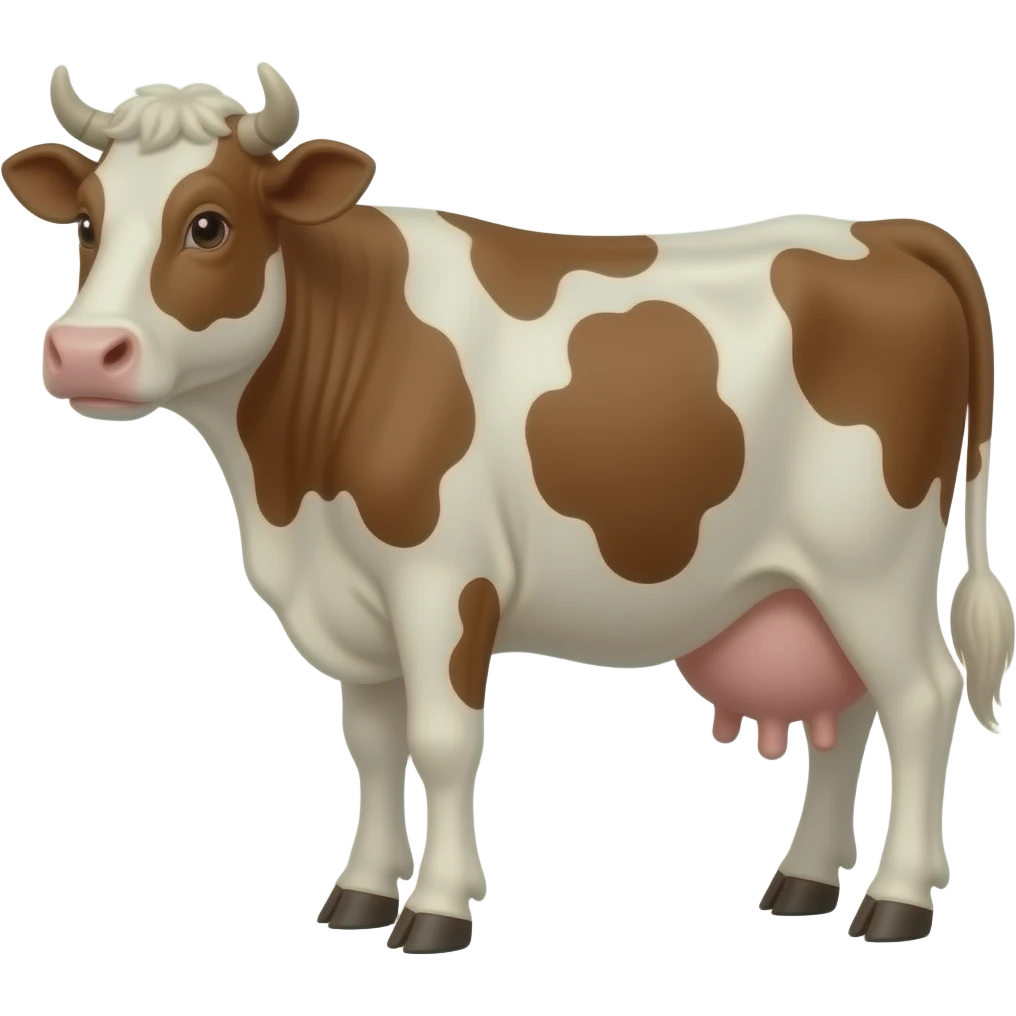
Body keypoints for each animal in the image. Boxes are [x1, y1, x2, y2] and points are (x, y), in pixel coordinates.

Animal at [3, 63, 1012, 953]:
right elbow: (373, 745)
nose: (85, 352)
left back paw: (897, 900)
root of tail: (885, 231)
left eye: (208, 225)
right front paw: (360, 893)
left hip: (870, 560)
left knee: (922, 697)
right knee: (851, 709)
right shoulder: (356, 600)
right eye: (87, 222)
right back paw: (803, 880)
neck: (288, 492)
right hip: (812, 582)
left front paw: (437, 911)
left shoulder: (441, 582)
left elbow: (443, 741)